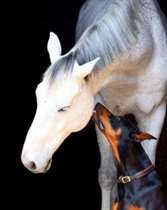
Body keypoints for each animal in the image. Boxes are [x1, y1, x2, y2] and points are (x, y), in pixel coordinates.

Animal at [21, 0, 167, 209]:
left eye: (64, 108)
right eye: (37, 97)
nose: (29, 161)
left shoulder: (156, 112)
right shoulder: (102, 116)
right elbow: (107, 175)